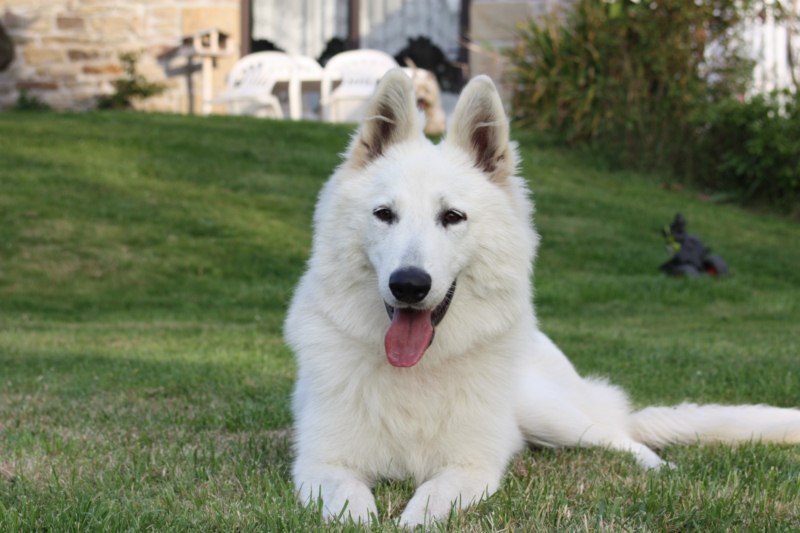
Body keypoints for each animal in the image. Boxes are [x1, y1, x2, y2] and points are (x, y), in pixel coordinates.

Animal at [282, 68, 800, 524]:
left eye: (452, 217)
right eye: (384, 214)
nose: (409, 284)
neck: (416, 374)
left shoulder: (471, 468)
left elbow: (427, 501)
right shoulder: (321, 466)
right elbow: (353, 508)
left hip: (553, 416)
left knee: (623, 437)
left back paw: (659, 468)